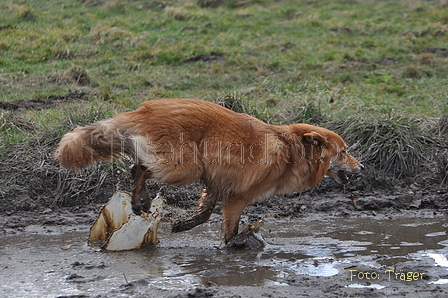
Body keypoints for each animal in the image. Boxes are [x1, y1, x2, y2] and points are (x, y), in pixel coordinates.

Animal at [55, 99, 364, 243]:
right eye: (344, 152)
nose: (361, 167)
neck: (291, 152)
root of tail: (144, 110)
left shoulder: (215, 184)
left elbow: (203, 215)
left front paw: (183, 225)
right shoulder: (236, 199)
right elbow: (230, 232)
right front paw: (235, 248)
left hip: (189, 168)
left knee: (136, 166)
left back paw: (138, 199)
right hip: (185, 168)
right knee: (140, 168)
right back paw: (140, 199)